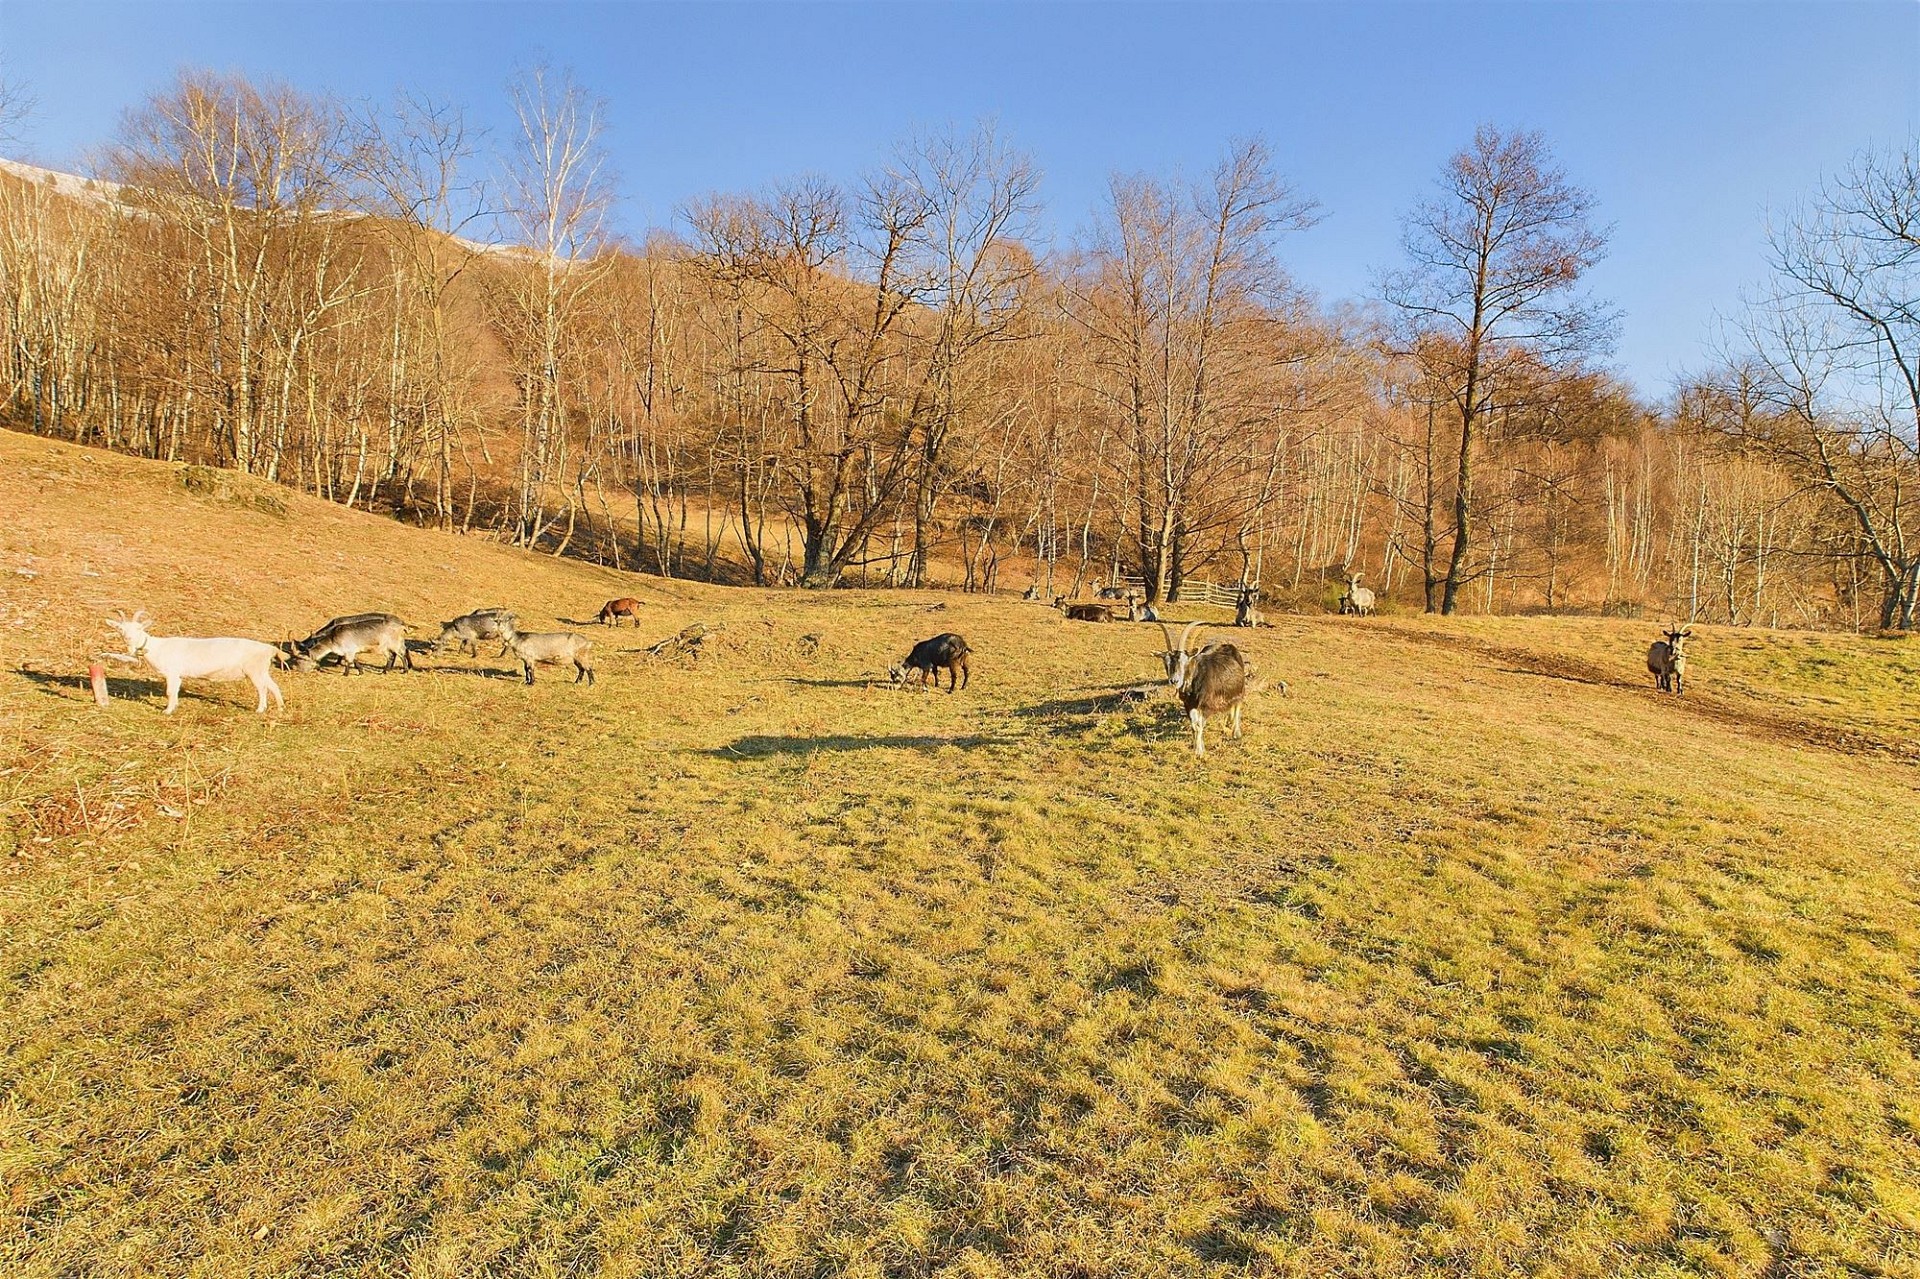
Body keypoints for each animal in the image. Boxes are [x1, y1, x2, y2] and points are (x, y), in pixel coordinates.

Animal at [107, 612, 283, 715]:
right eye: (120, 629)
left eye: (139, 628)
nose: (129, 639)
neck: (157, 647)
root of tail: (269, 648)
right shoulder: (177, 675)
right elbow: (175, 691)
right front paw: (174, 707)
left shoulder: (171, 672)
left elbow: (170, 692)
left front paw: (167, 711)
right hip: (262, 671)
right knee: (274, 686)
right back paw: (281, 708)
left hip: (254, 670)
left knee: (262, 689)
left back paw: (260, 710)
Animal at [1157, 621, 1248, 755]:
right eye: (1166, 662)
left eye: (1185, 661)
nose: (1174, 680)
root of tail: (1227, 646)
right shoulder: (1189, 705)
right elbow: (1194, 726)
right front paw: (1198, 748)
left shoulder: (1206, 705)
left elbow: (1199, 725)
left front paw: (1199, 751)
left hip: (1239, 691)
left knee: (1237, 706)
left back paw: (1236, 733)